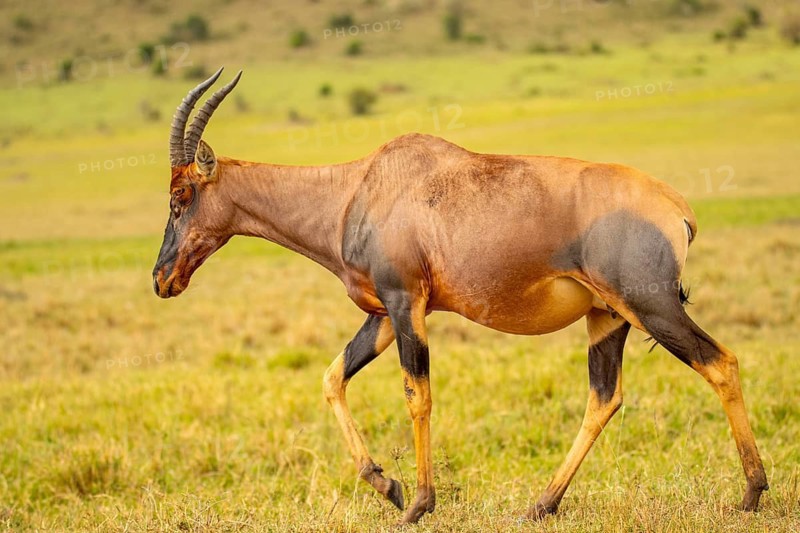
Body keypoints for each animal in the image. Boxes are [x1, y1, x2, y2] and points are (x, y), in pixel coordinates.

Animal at [153, 68, 768, 524]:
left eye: (181, 195)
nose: (162, 280)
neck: (360, 187)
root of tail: (677, 206)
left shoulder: (406, 304)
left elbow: (416, 394)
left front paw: (419, 504)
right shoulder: (382, 314)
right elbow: (331, 378)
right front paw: (388, 486)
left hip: (652, 308)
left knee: (721, 363)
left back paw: (752, 494)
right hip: (606, 317)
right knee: (604, 397)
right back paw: (541, 504)